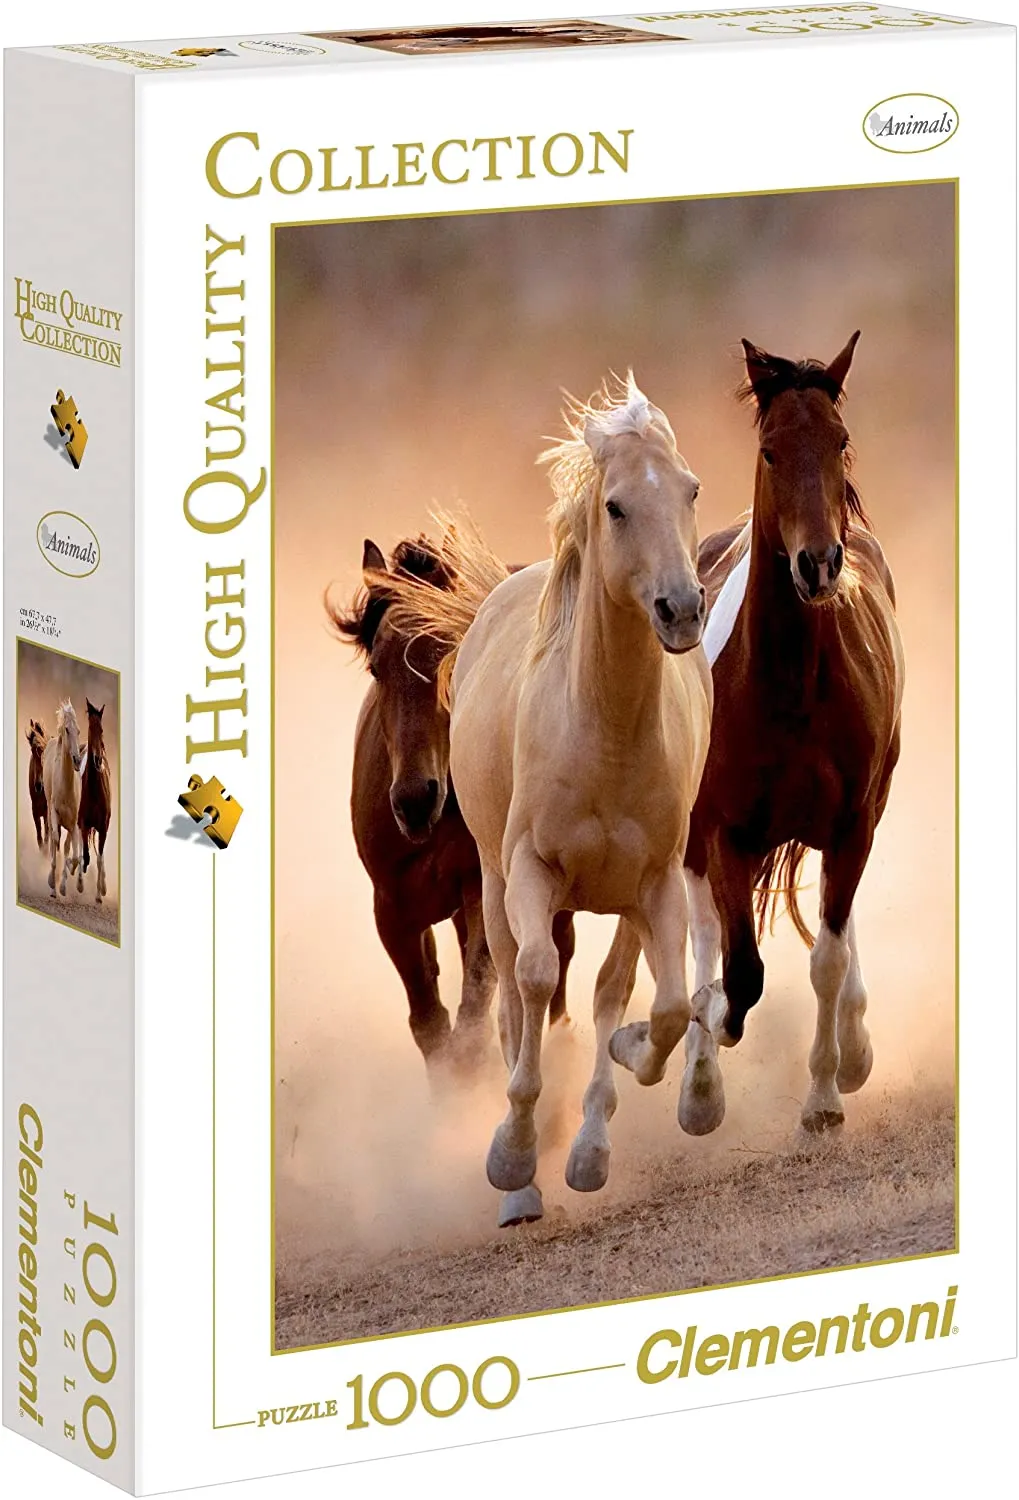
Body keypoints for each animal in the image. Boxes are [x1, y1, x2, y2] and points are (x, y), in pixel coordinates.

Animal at [329, 535, 576, 1088]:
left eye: (451, 654)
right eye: (377, 667)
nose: (415, 800)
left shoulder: (482, 890)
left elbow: (472, 1016)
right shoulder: (392, 908)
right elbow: (430, 1023)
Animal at [385, 378, 712, 1224]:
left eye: (690, 490)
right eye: (617, 506)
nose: (681, 610)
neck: (603, 729)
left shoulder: (655, 883)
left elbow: (659, 1006)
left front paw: (618, 1095)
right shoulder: (528, 874)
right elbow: (532, 983)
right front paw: (512, 1157)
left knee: (609, 991)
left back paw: (590, 1143)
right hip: (495, 888)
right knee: (511, 994)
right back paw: (522, 1179)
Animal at [609, 332, 904, 1138]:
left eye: (839, 441)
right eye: (770, 451)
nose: (819, 564)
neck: (791, 684)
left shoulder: (852, 824)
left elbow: (824, 958)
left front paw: (825, 1096)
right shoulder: (723, 833)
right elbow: (738, 974)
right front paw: (688, 1051)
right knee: (710, 937)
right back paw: (698, 1081)